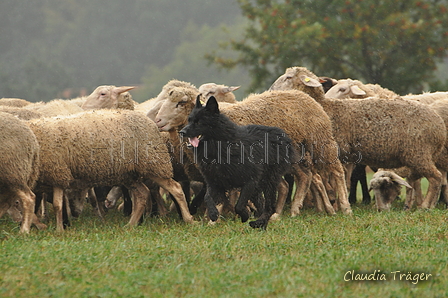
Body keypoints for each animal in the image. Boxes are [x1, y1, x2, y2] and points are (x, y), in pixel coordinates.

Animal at [28, 109, 193, 230]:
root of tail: (150, 122)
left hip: (153, 164)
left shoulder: (57, 172)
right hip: (129, 174)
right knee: (142, 194)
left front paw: (58, 230)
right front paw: (40, 225)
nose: (75, 214)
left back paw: (189, 219)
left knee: (175, 188)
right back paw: (131, 224)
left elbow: (56, 205)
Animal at [178, 96, 298, 229]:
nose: (181, 132)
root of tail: (283, 135)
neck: (220, 147)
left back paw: (260, 222)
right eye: (189, 120)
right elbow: (207, 197)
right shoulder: (214, 182)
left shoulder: (250, 181)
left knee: (269, 207)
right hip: (258, 187)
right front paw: (213, 214)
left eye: (198, 122)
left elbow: (239, 205)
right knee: (262, 205)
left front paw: (244, 215)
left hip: (269, 182)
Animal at [272, 66, 446, 210]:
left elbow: (337, 180)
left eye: (288, 77)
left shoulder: (336, 153)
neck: (325, 107)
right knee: (423, 179)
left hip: (419, 154)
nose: (272, 89)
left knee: (436, 178)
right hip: (418, 157)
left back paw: (425, 206)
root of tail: (440, 127)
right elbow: (341, 180)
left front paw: (337, 204)